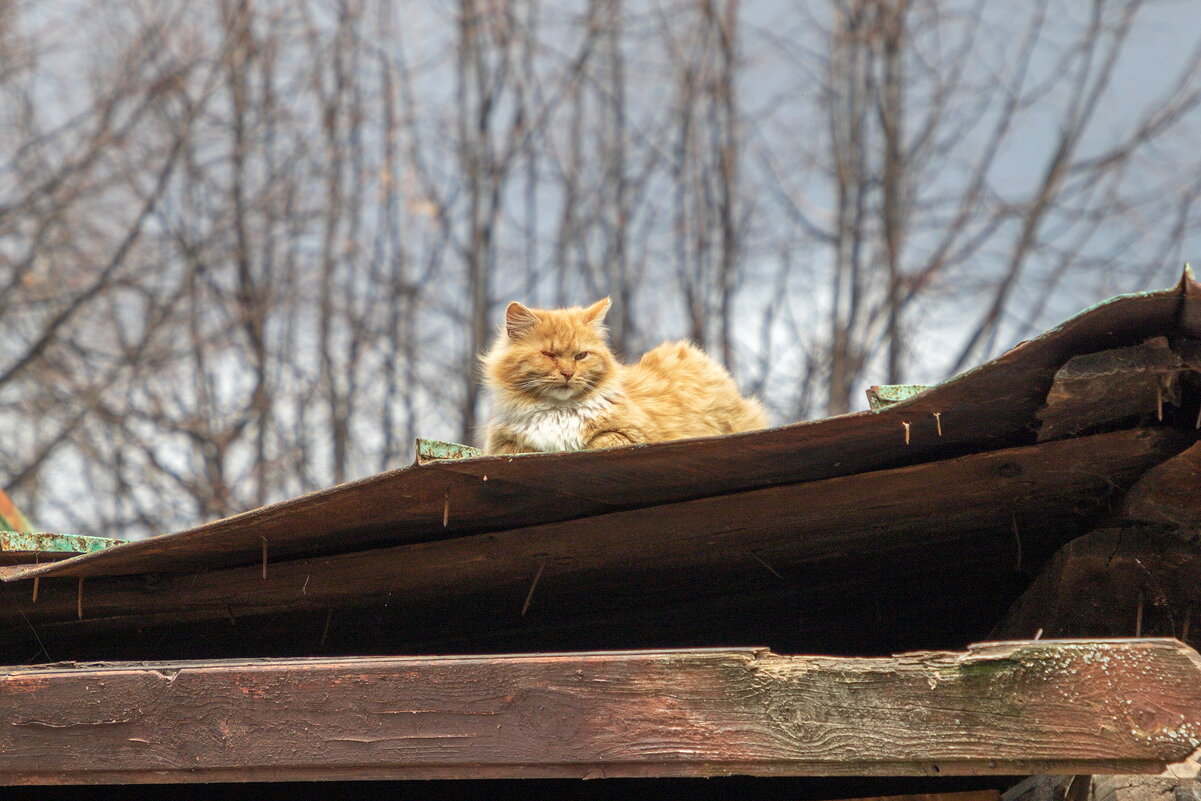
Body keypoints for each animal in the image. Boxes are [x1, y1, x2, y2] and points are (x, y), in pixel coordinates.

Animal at [480, 297, 768, 453]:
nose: (568, 373)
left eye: (581, 356)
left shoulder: (631, 435)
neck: (557, 412)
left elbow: (600, 441)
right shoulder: (504, 445)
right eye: (549, 355)